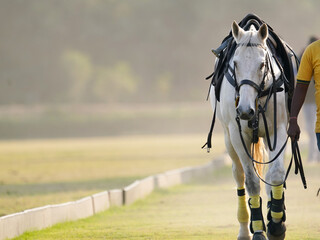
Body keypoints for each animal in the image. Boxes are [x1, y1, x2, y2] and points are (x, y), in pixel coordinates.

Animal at [210, 21, 290, 239]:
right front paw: (258, 229)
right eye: (235, 63)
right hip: (228, 138)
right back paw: (245, 229)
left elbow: (276, 174)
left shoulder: (279, 128)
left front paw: (276, 224)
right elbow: (252, 181)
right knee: (239, 175)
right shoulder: (237, 135)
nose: (245, 110)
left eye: (262, 64)